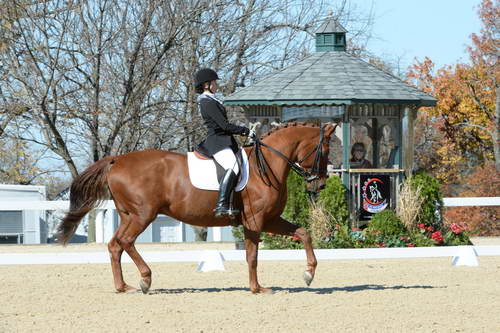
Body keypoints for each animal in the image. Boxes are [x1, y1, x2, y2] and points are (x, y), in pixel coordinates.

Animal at [57, 122, 336, 294]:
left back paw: (123, 286)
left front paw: (308, 274)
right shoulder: (255, 221)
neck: (266, 164)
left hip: (128, 215)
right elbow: (252, 256)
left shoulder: (270, 219)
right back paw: (145, 279)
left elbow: (304, 233)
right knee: (125, 242)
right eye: (325, 150)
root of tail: (117, 160)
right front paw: (258, 288)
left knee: (115, 245)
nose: (320, 184)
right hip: (142, 215)